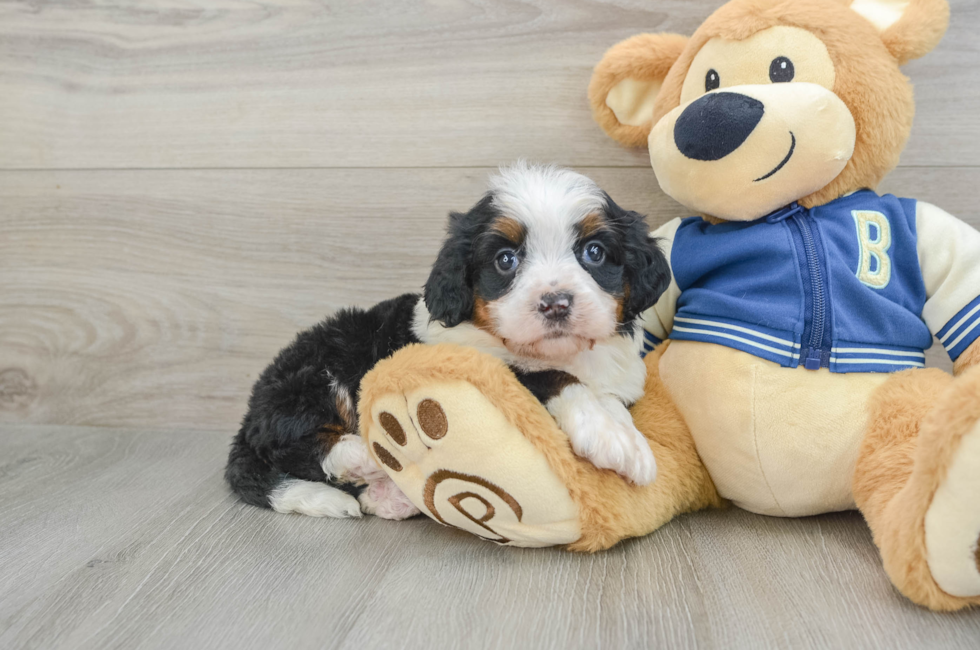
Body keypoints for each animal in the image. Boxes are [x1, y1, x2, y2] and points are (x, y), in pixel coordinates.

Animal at [226, 163, 668, 520]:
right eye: (505, 260)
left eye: (594, 252)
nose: (555, 303)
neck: (564, 352)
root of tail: (251, 413)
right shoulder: (473, 363)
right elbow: (550, 378)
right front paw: (609, 436)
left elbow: (611, 399)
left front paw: (622, 432)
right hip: (317, 371)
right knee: (287, 445)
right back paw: (366, 456)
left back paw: (388, 496)